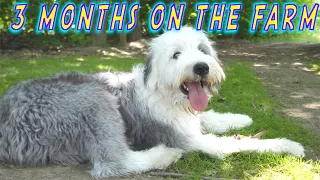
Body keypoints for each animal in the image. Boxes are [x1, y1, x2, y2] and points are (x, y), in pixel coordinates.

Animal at [0, 27, 304, 178]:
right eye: (176, 54)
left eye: (202, 50)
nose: (202, 67)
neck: (165, 92)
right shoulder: (189, 139)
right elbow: (239, 144)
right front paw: (288, 145)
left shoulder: (189, 120)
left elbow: (208, 116)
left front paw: (240, 118)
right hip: (93, 98)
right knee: (112, 165)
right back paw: (164, 155)